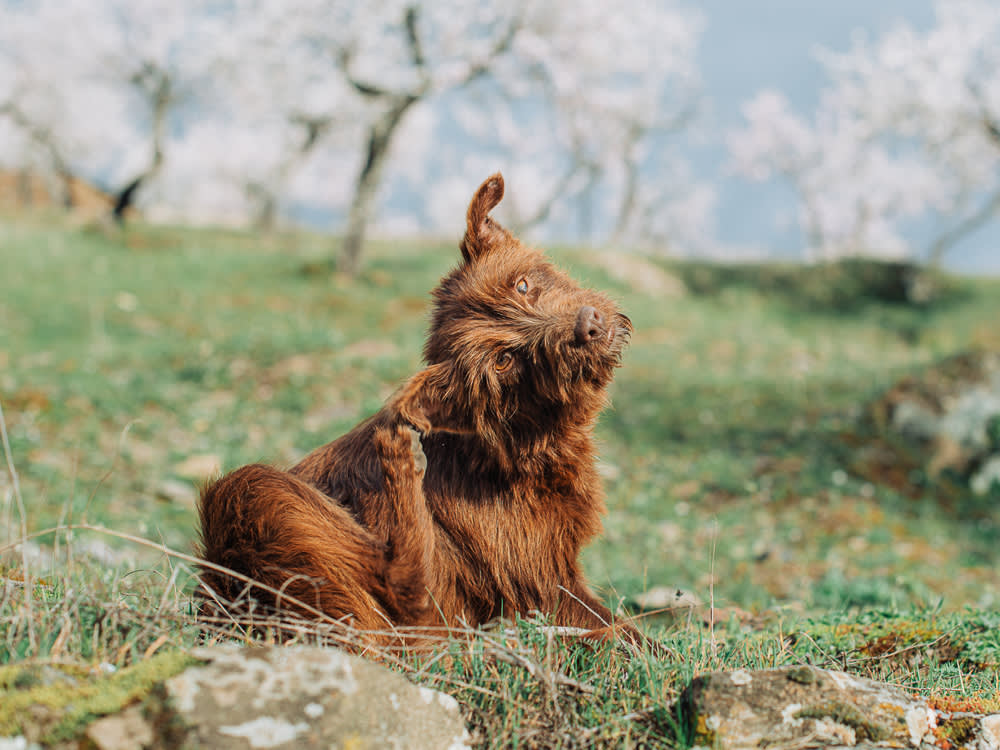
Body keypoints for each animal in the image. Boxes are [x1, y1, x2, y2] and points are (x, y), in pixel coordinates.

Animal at [199, 173, 644, 648]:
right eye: (504, 361)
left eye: (522, 285)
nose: (589, 326)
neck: (519, 444)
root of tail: (215, 613)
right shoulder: (546, 585)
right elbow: (626, 633)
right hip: (250, 490)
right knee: (404, 587)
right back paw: (402, 463)